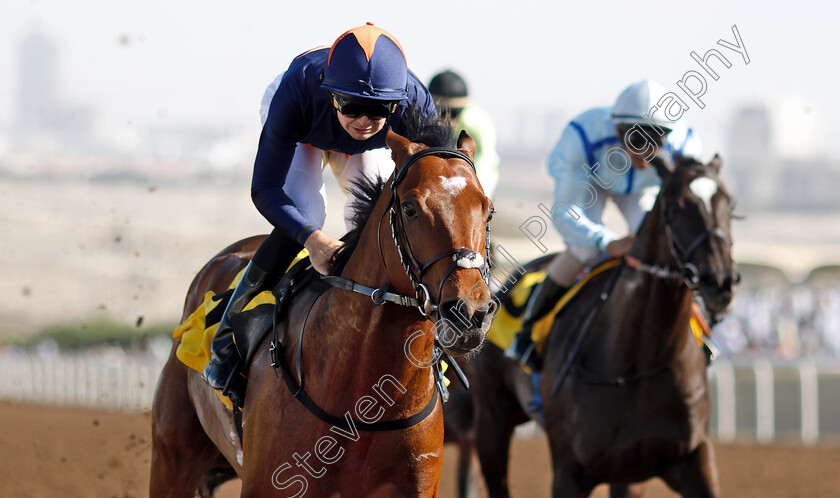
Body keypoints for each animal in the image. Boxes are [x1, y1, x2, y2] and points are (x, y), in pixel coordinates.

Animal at [456, 156, 740, 498]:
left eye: (731, 205)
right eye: (676, 208)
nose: (720, 281)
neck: (638, 361)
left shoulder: (693, 460)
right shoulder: (570, 470)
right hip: (491, 421)